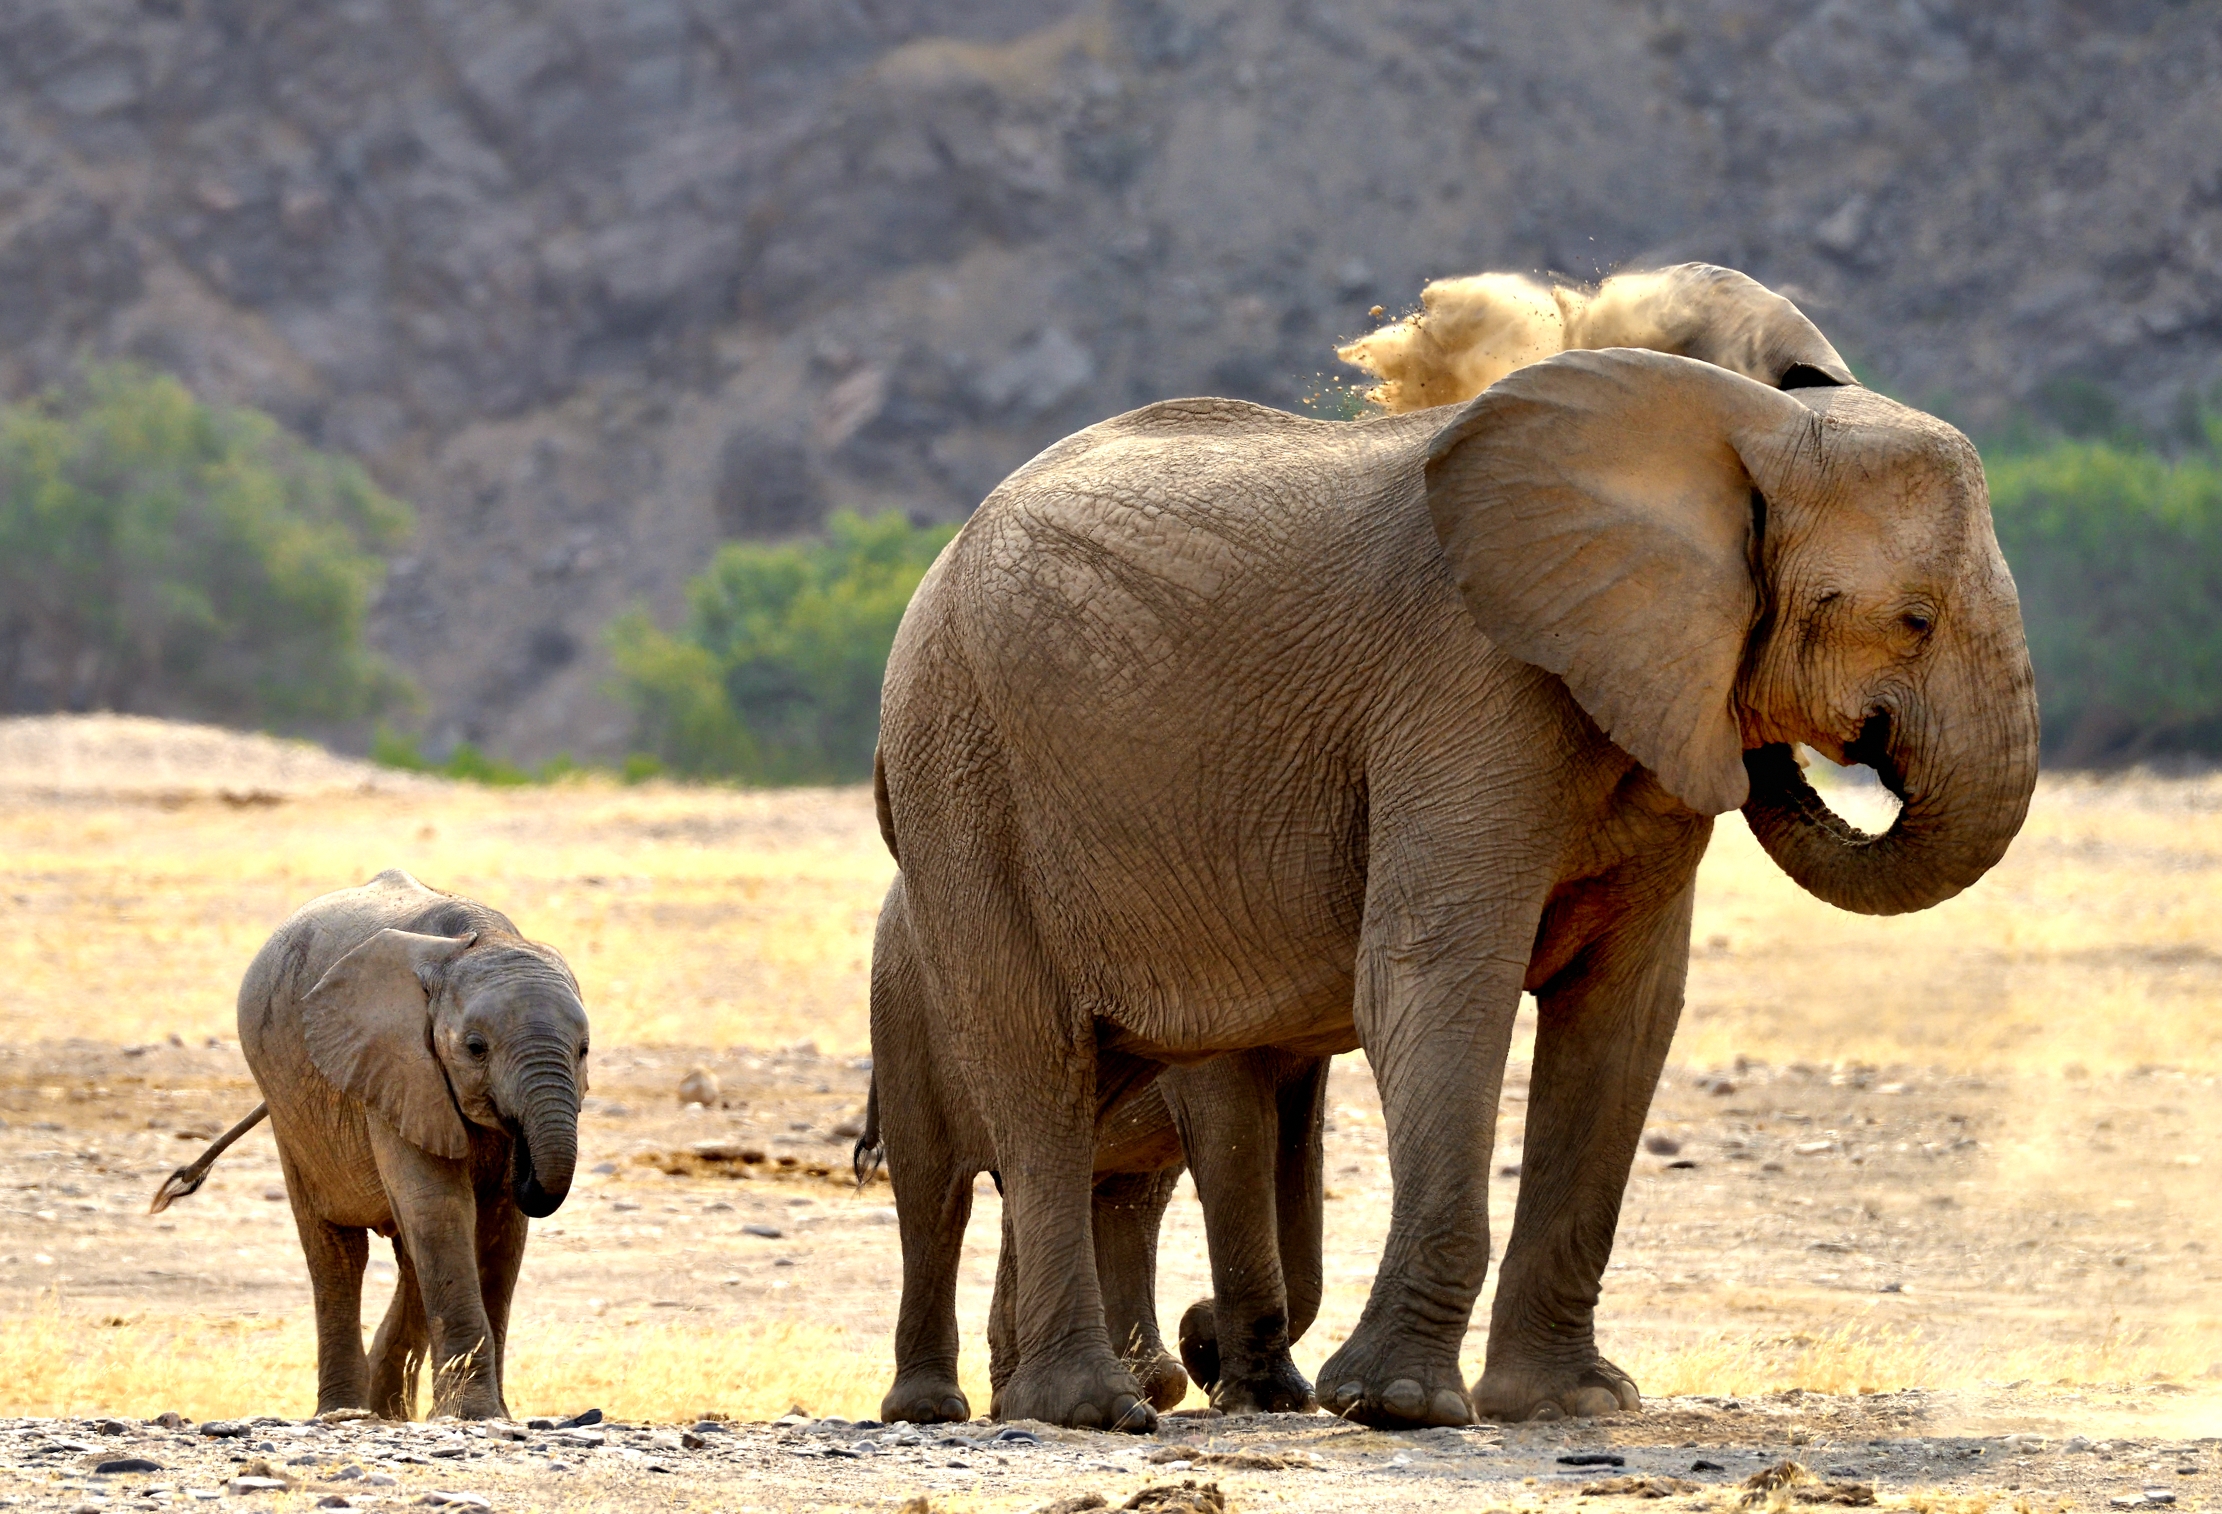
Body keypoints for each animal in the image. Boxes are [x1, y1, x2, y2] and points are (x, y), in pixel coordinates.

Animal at [156, 867, 591, 1422]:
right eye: (476, 1048)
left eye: (583, 1051)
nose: (524, 1159)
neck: (478, 940)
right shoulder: (392, 1067)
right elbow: (437, 1206)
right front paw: (472, 1416)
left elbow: (499, 1230)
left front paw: (493, 1416)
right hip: (288, 1111)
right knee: (338, 1255)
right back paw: (344, 1411)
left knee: (410, 1257)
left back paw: (387, 1413)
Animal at [866, 262, 2035, 1431]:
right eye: (1913, 620)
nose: (1806, 755)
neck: (1736, 425)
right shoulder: (1467, 681)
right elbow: (1433, 979)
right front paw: (1395, 1404)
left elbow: (1624, 1015)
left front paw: (1570, 1403)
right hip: (960, 765)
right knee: (1026, 1074)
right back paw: (1073, 1408)